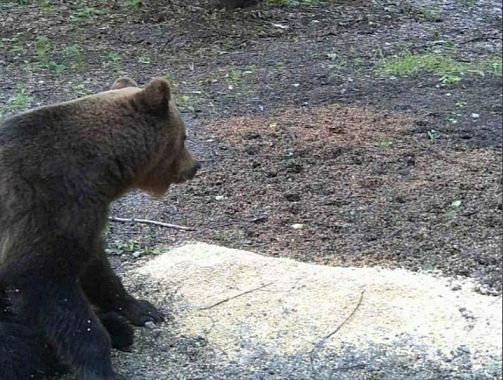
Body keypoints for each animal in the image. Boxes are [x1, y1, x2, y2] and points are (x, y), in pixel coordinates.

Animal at [0, 75, 201, 378]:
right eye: (184, 136)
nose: (195, 166)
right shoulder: (43, 208)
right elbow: (57, 295)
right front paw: (100, 366)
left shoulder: (84, 218)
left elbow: (98, 268)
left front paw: (143, 309)